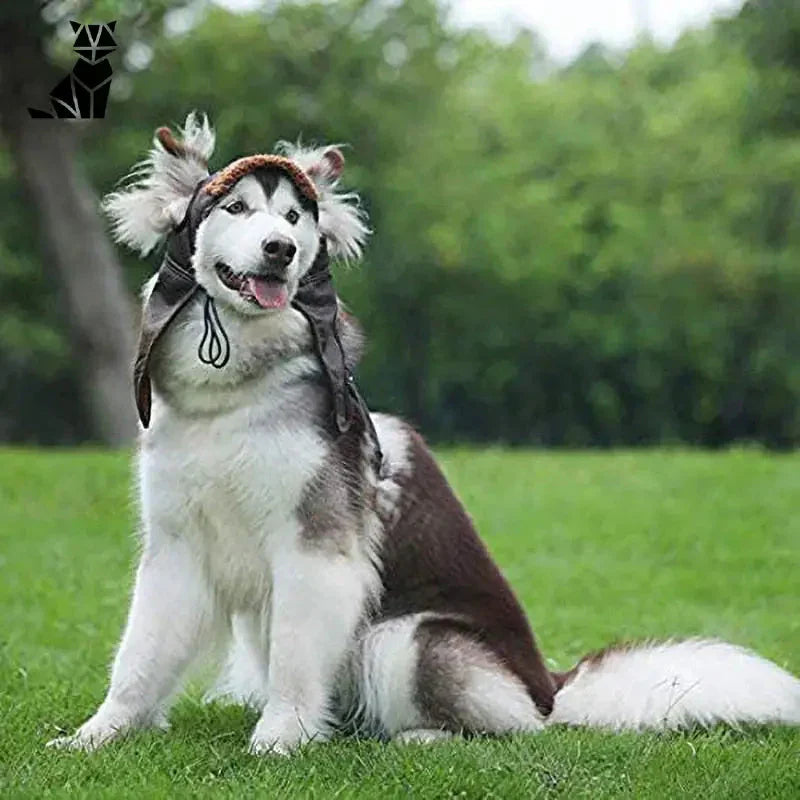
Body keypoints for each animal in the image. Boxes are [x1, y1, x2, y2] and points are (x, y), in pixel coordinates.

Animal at [48, 114, 800, 756]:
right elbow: (138, 657)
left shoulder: (316, 550)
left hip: (405, 636)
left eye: (293, 218)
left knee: (511, 729)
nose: (281, 249)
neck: (233, 399)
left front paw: (280, 739)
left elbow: (294, 660)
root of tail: (552, 686)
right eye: (235, 210)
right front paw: (98, 734)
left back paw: (422, 737)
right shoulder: (176, 548)